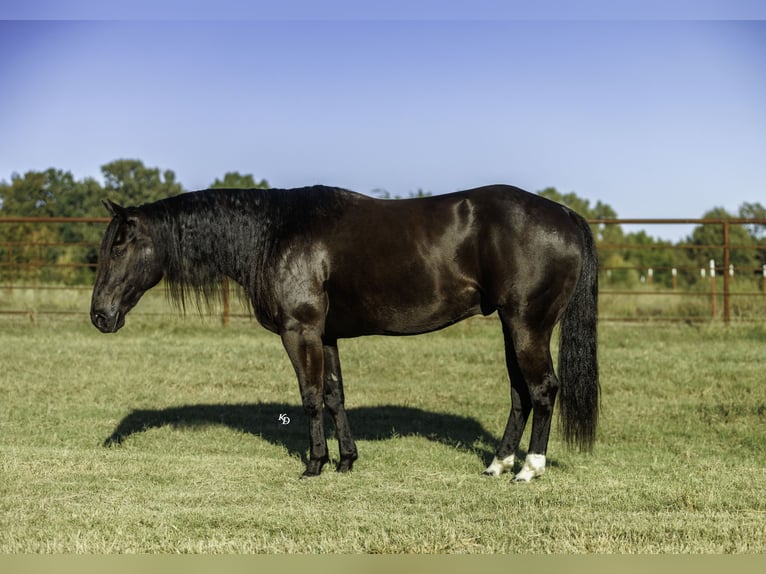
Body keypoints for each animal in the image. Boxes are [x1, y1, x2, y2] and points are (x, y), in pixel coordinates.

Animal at [90, 184, 599, 481]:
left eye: (119, 247)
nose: (99, 315)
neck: (275, 233)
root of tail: (568, 216)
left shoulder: (300, 332)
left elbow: (311, 397)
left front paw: (315, 464)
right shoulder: (326, 336)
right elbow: (335, 395)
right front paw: (347, 460)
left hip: (528, 325)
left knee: (543, 390)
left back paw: (529, 469)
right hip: (512, 327)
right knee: (520, 394)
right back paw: (498, 463)